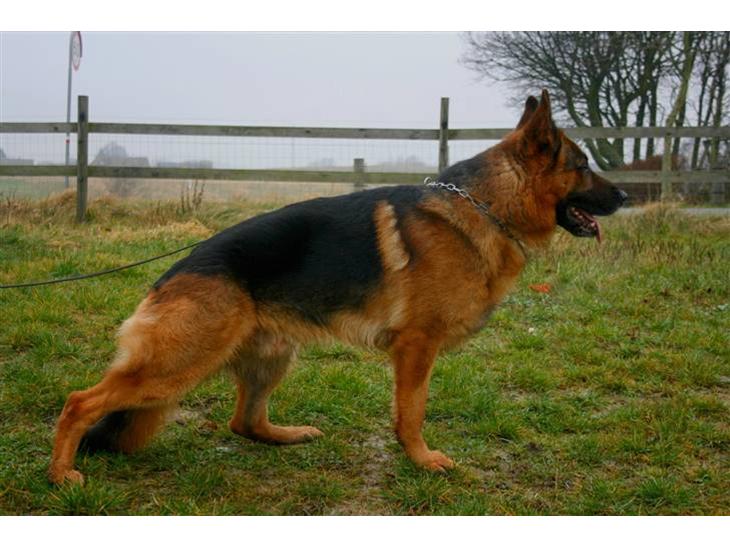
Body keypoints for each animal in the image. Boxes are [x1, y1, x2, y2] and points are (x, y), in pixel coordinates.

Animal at [49, 90, 627, 484]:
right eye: (583, 166)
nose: (624, 195)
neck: (485, 205)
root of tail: (171, 275)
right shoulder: (416, 347)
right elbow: (412, 411)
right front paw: (421, 459)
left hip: (271, 356)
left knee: (243, 422)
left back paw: (289, 435)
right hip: (178, 364)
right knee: (79, 402)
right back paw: (61, 475)